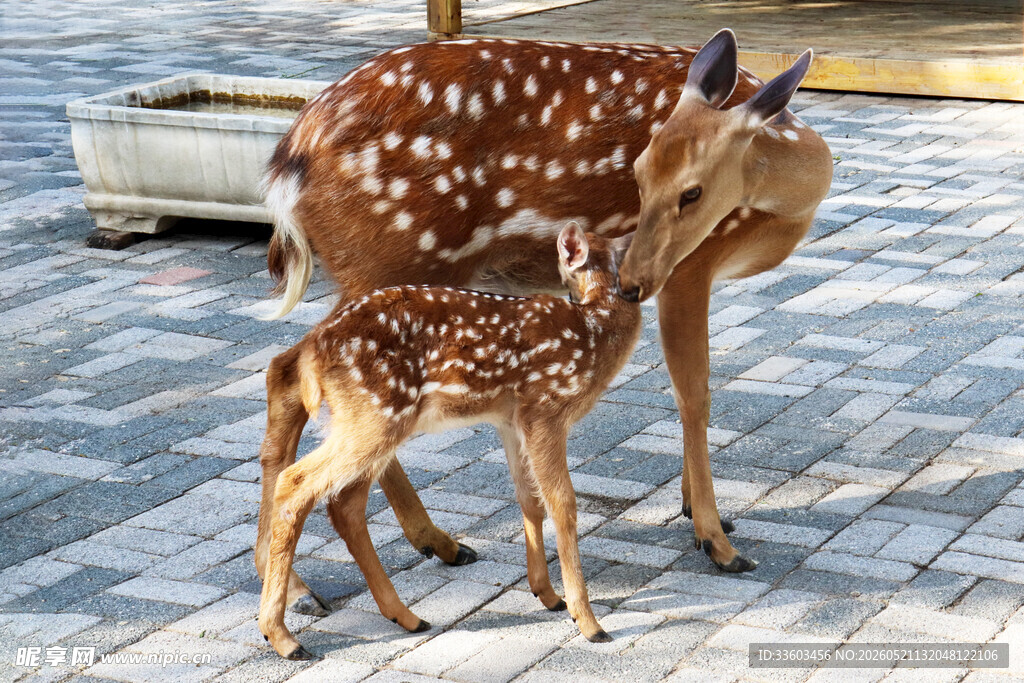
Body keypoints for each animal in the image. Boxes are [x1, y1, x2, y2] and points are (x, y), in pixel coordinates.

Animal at [257, 223, 639, 659]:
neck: (593, 330)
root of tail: (315, 351)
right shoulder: (546, 408)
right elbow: (563, 504)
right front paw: (589, 622)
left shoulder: (511, 419)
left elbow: (528, 498)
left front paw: (547, 594)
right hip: (376, 415)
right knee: (297, 483)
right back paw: (284, 636)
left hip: (367, 420)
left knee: (342, 502)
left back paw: (405, 615)